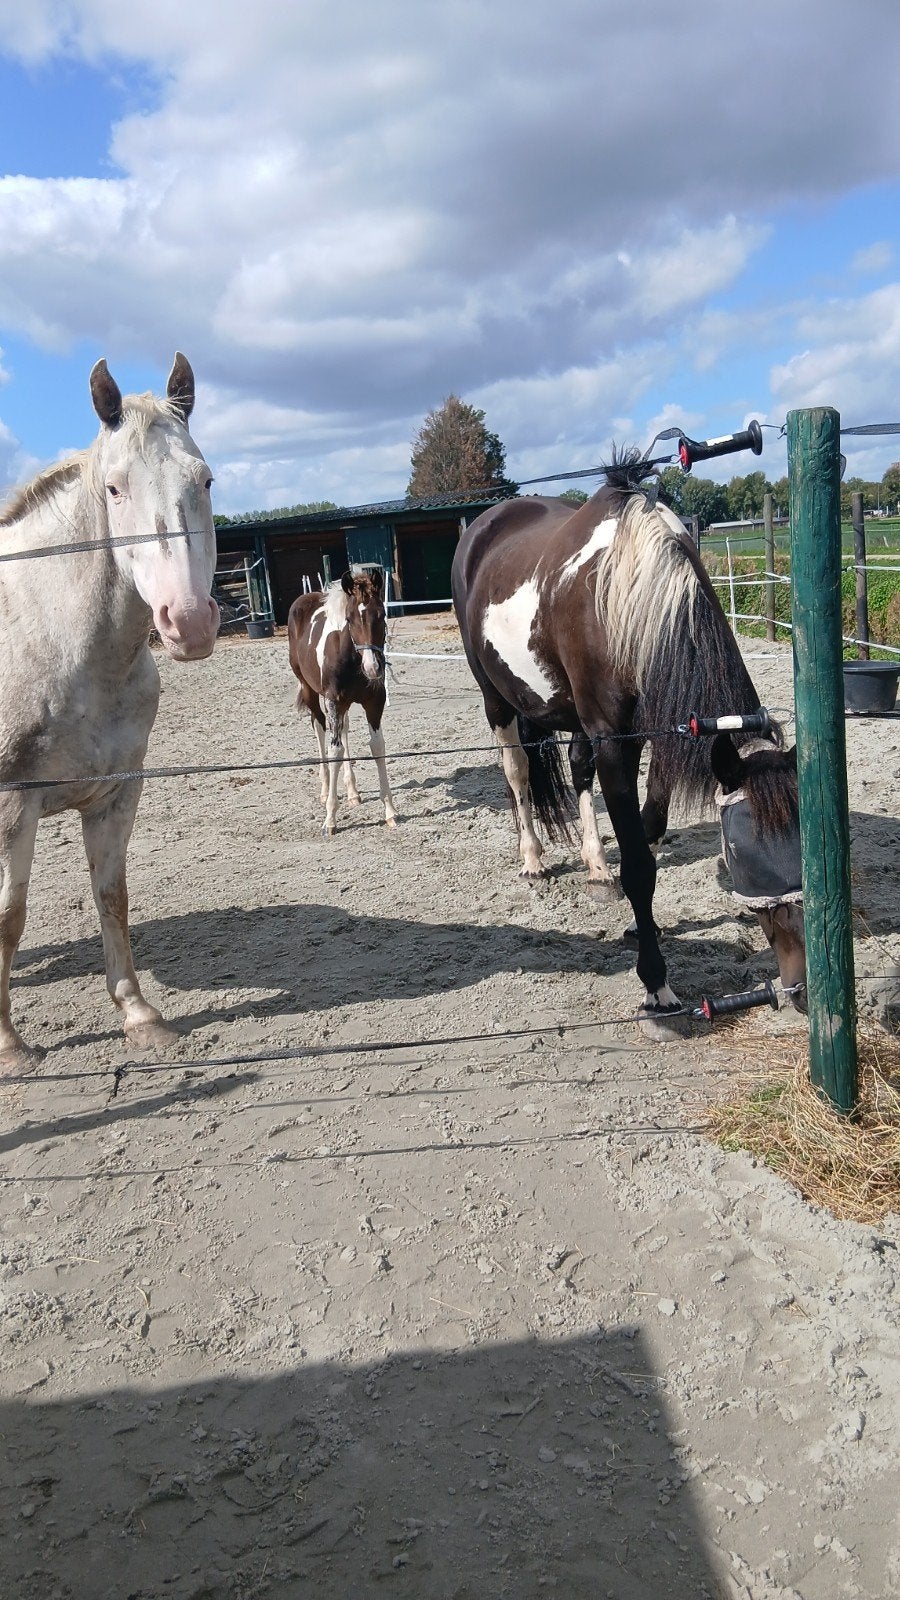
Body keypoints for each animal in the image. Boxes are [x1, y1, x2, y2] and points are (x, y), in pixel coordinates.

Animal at [0, 353, 220, 1072]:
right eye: (115, 489)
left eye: (205, 479)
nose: (188, 622)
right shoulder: (12, 807)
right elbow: (10, 916)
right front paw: (10, 1046)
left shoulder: (117, 794)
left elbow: (112, 897)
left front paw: (139, 1015)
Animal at [288, 568, 397, 836]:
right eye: (349, 618)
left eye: (382, 614)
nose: (373, 667)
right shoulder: (334, 702)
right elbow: (334, 751)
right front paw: (330, 819)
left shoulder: (374, 702)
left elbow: (377, 747)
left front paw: (389, 811)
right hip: (310, 691)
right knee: (319, 727)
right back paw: (326, 788)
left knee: (345, 728)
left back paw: (353, 792)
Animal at [451, 451, 806, 1026]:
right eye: (736, 847)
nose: (799, 985)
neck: (630, 593)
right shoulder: (617, 742)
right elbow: (639, 864)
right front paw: (656, 983)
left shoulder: (665, 730)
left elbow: (649, 831)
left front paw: (642, 923)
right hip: (496, 698)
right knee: (517, 771)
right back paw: (532, 858)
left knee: (577, 769)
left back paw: (597, 867)